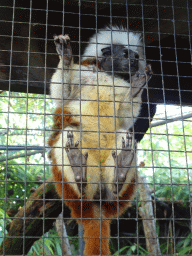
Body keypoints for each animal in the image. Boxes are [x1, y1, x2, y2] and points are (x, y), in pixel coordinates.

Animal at [48, 31, 152, 254]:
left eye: (136, 56)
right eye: (125, 54)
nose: (133, 62)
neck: (110, 75)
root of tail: (96, 204)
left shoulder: (122, 89)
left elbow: (125, 117)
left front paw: (136, 89)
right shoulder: (84, 71)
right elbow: (63, 95)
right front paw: (66, 58)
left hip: (115, 189)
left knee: (124, 135)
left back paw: (120, 170)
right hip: (67, 187)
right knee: (67, 133)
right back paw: (79, 171)